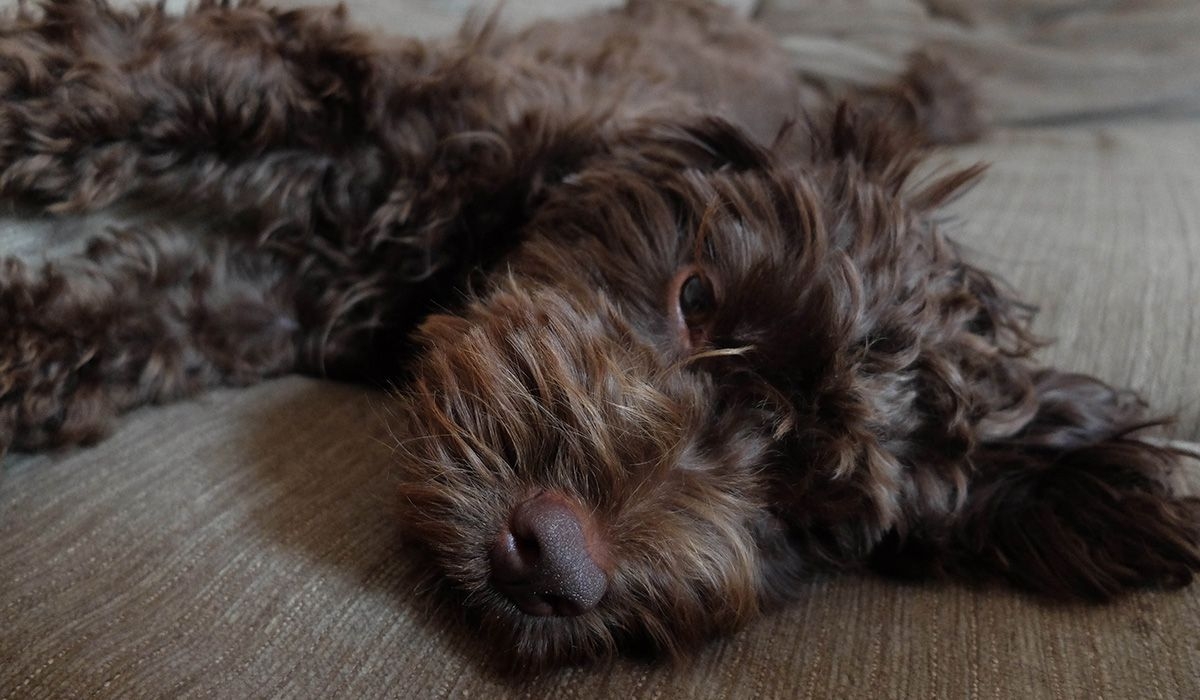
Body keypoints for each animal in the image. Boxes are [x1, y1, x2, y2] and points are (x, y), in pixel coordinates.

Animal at [2, 0, 1200, 672]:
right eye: (694, 297)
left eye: (808, 512)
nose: (556, 565)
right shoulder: (401, 95)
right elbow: (204, 70)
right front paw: (32, 99)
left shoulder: (287, 299)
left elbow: (161, 311)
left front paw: (25, 346)